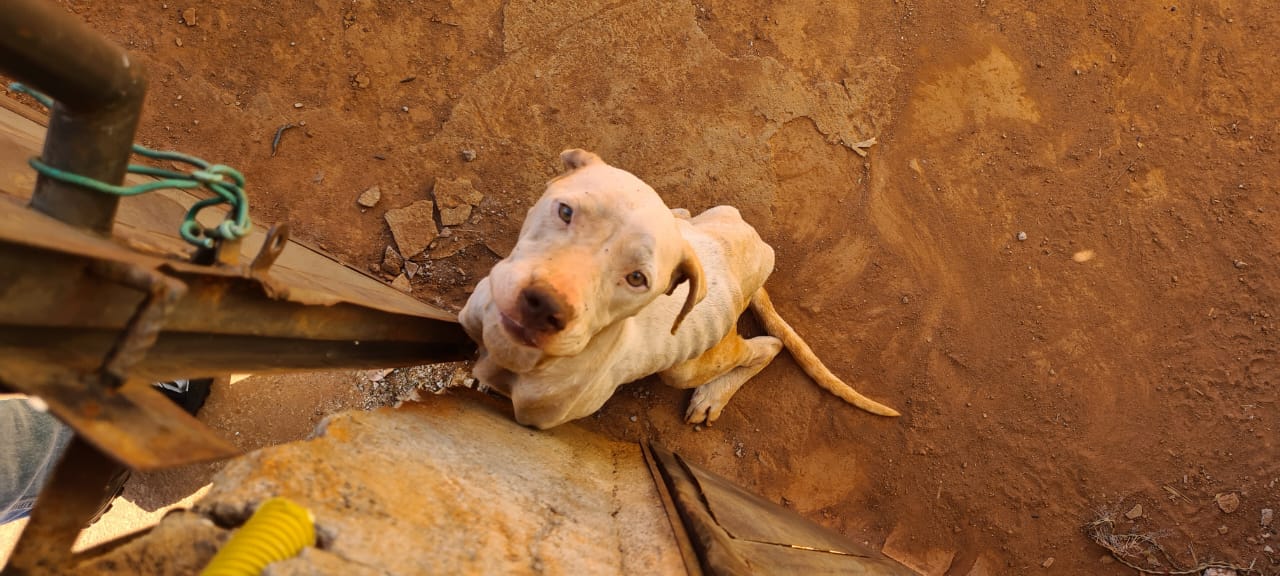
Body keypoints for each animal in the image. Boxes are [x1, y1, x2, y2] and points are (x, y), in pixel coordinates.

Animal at [463, 148, 901, 427]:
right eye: (565, 211)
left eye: (637, 278)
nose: (542, 306)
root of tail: (755, 259)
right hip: (710, 219)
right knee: (685, 216)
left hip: (690, 365)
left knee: (767, 347)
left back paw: (712, 396)